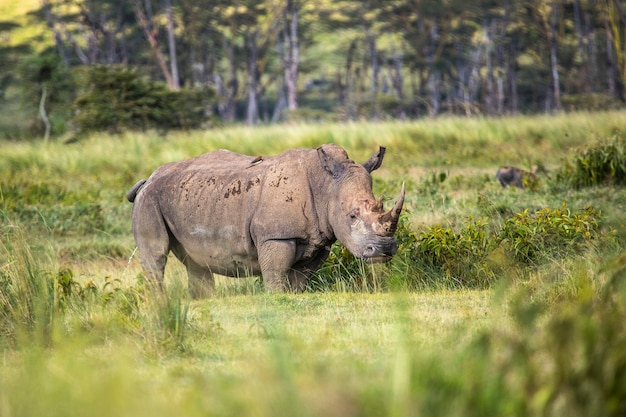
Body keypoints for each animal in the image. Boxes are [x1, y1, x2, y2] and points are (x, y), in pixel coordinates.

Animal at [127, 143, 404, 296]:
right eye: (352, 216)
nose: (384, 250)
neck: (325, 186)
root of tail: (150, 177)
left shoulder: (319, 240)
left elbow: (300, 278)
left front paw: (293, 296)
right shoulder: (276, 236)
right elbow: (275, 273)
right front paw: (276, 298)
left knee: (196, 263)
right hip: (149, 200)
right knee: (156, 254)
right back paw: (161, 303)